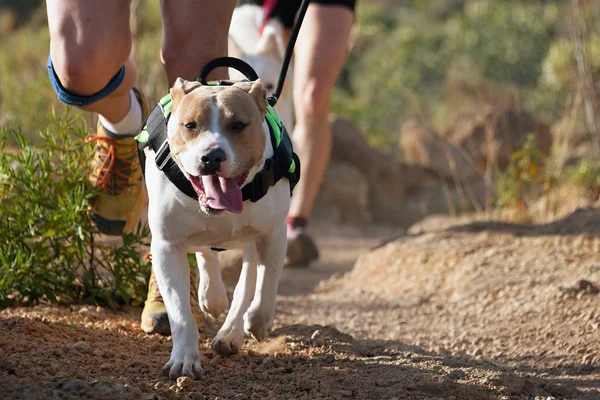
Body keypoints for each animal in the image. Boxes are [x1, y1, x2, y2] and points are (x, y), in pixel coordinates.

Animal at [145, 77, 296, 378]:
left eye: (238, 125)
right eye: (190, 125)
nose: (212, 156)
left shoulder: (272, 234)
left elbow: (264, 289)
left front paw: (256, 323)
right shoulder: (167, 246)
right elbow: (180, 311)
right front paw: (184, 359)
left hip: (252, 241)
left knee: (247, 283)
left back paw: (230, 334)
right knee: (206, 252)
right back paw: (212, 296)